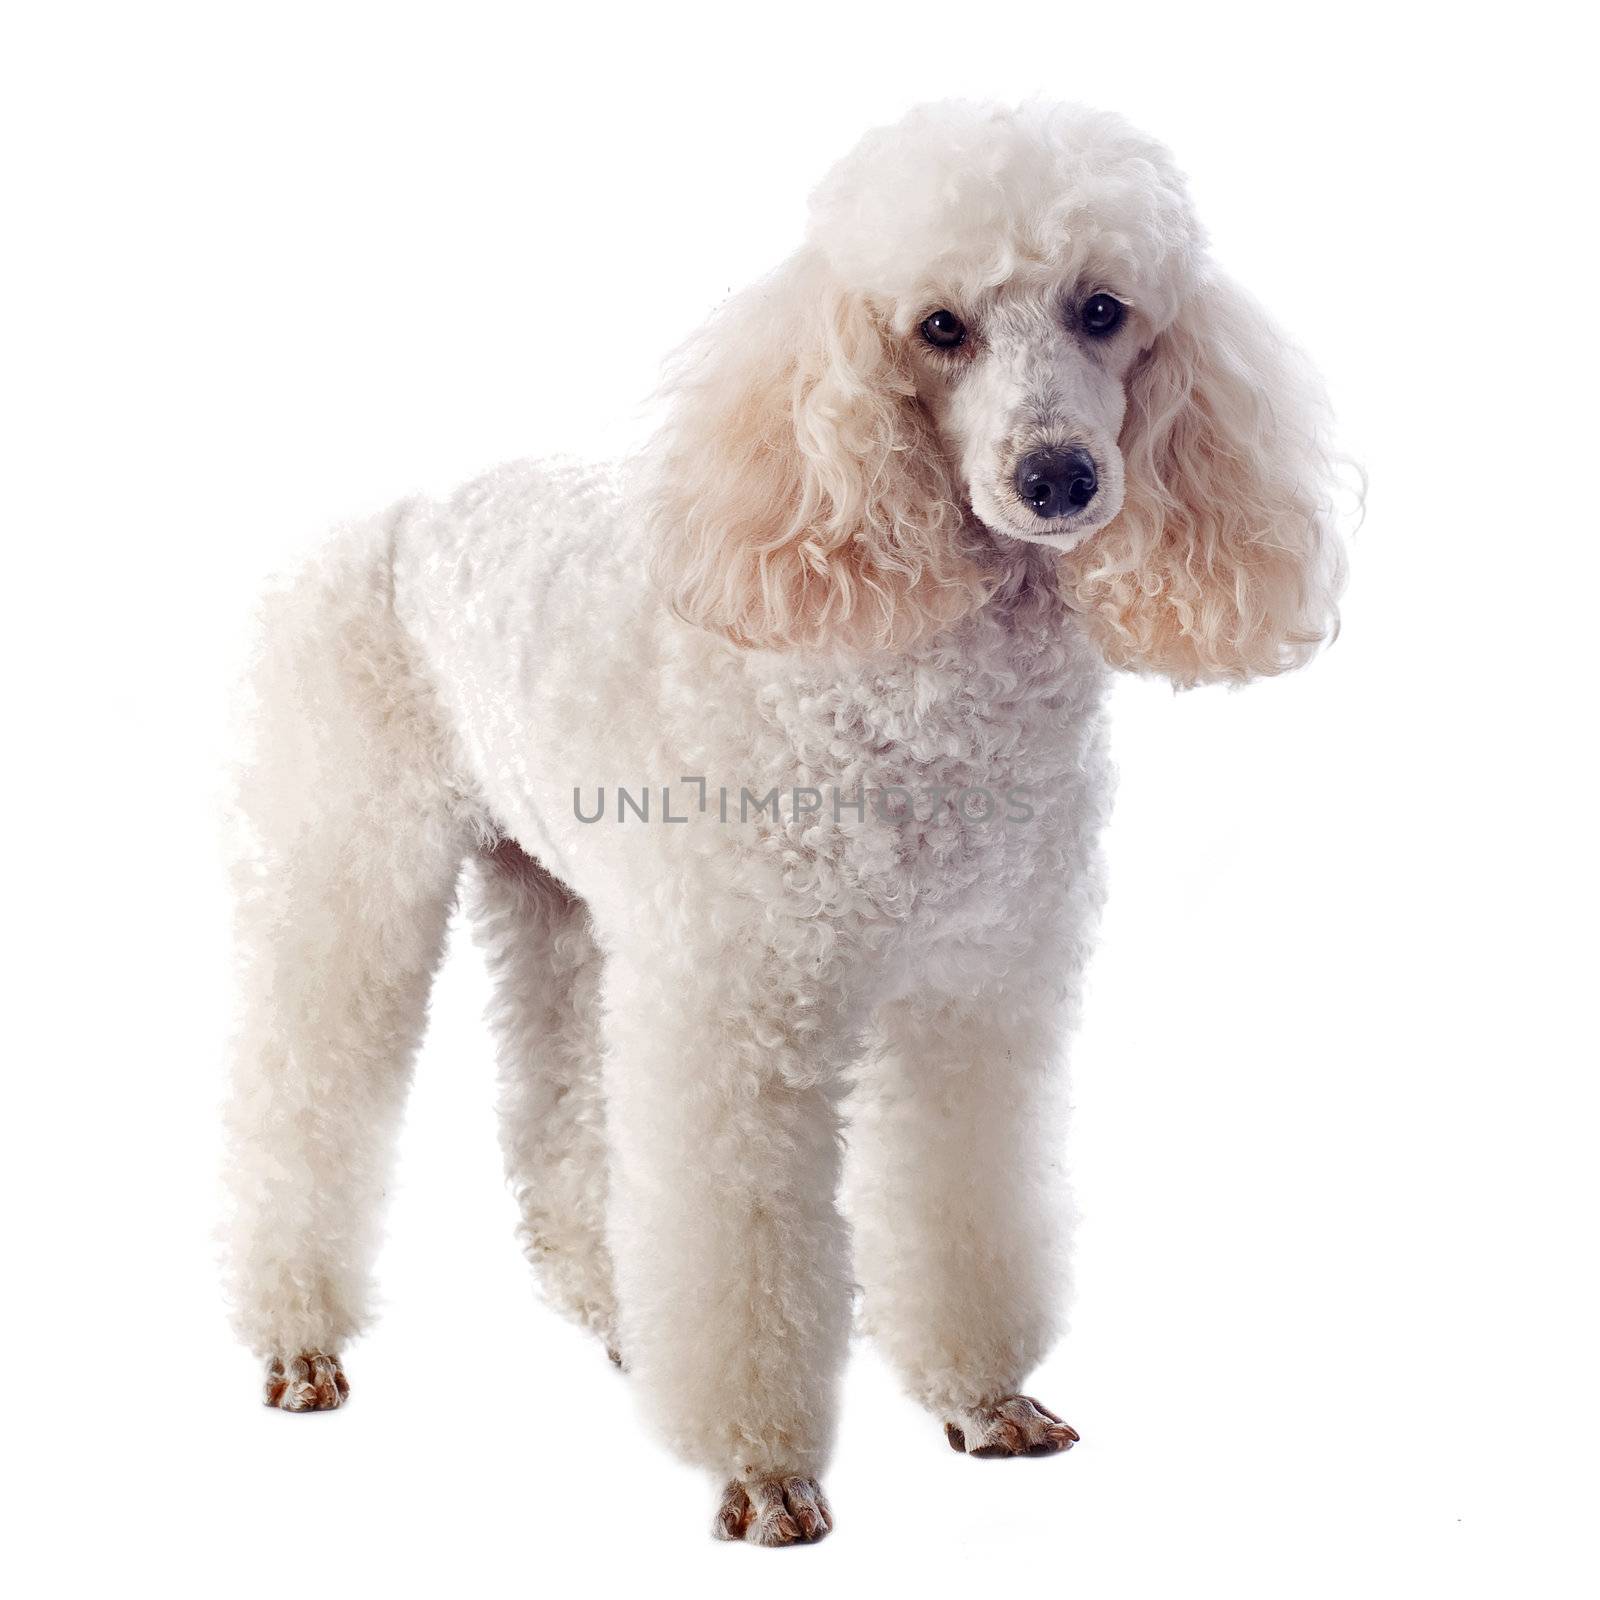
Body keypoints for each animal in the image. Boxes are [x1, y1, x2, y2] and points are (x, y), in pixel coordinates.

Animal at [225, 103, 1350, 1548]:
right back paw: (297, 1341)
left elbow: (955, 1197)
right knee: (303, 1090)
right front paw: (762, 1473)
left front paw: (983, 1400)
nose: (1056, 478)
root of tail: (403, 515)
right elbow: (744, 1242)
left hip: (566, 899)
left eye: (1103, 310)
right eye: (939, 327)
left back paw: (614, 1311)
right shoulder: (743, 1010)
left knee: (562, 1116)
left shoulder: (973, 995)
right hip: (352, 861)